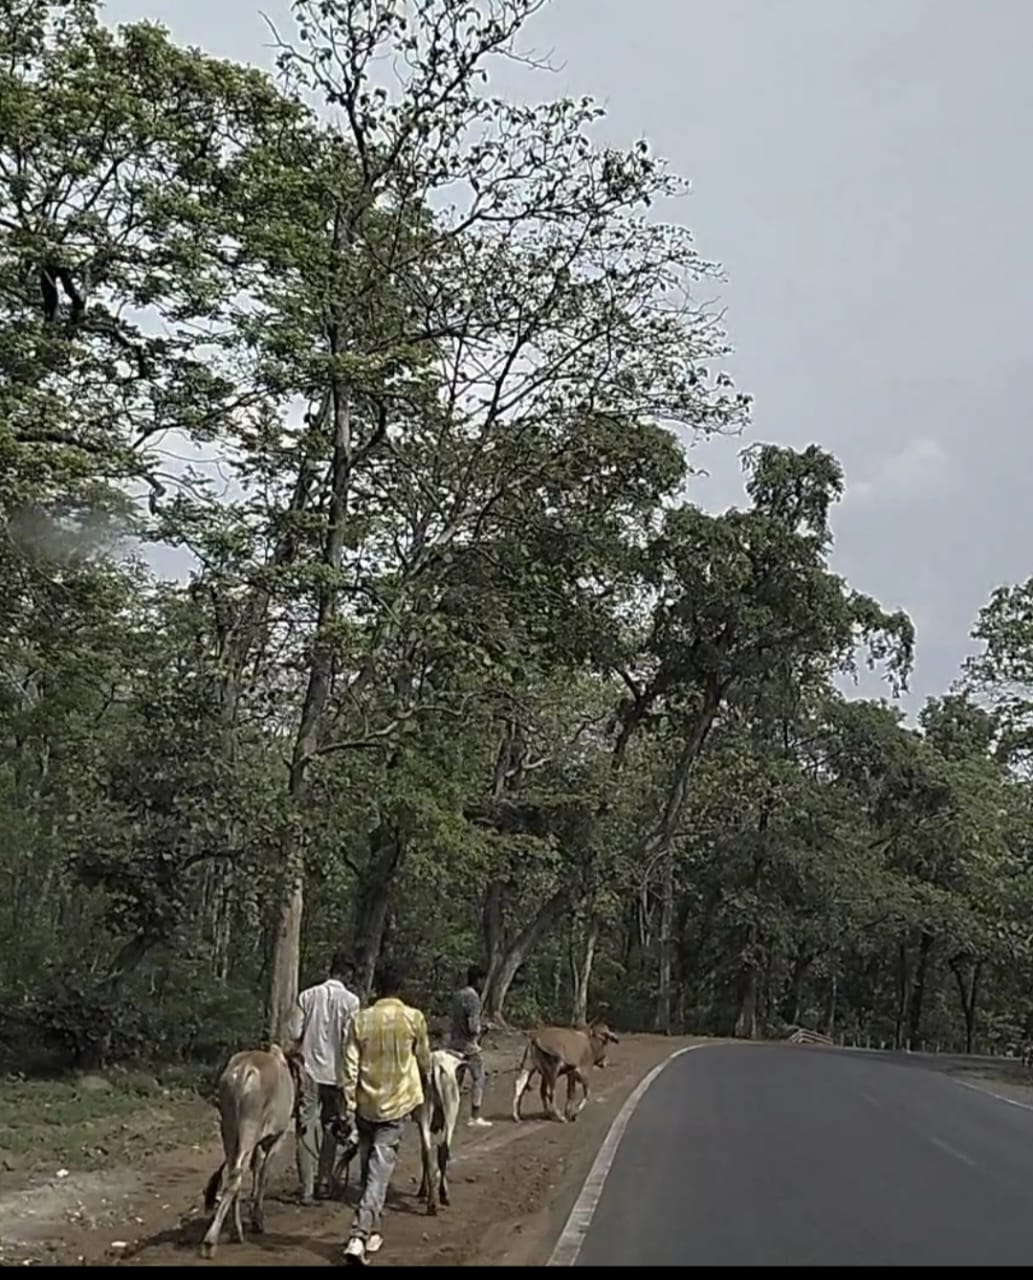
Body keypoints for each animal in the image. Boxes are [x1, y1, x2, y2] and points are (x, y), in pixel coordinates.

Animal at [199, 1039, 299, 1259]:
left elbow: (256, 1169)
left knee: (233, 1172)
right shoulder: (277, 1137)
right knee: (236, 1175)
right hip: (248, 1128)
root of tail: (244, 1068)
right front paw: (257, 1219)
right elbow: (263, 1176)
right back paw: (211, 1240)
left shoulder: (259, 1144)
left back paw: (235, 1231)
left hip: (228, 1128)